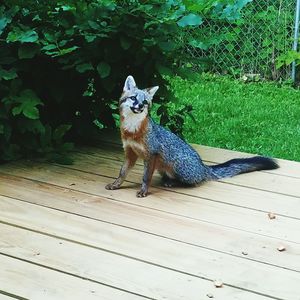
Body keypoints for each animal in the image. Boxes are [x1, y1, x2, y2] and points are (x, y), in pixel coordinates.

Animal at [105, 75, 278, 197]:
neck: (132, 131)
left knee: (195, 182)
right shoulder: (130, 153)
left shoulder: (151, 154)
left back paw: (174, 183)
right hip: (161, 167)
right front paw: (116, 184)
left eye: (145, 102)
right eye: (133, 98)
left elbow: (146, 177)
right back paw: (167, 180)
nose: (140, 106)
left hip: (176, 165)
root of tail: (203, 166)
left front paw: (143, 191)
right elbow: (122, 172)